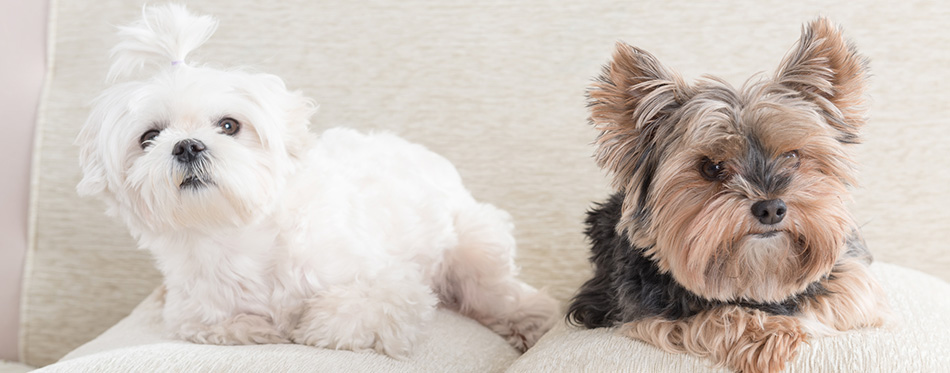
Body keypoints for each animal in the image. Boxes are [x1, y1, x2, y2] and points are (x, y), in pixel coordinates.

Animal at [82, 4, 560, 356]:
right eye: (149, 137)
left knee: (501, 295)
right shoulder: (195, 313)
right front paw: (261, 327)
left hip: (474, 248)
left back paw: (527, 321)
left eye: (229, 125)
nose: (187, 146)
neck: (238, 238)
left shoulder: (392, 288)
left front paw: (304, 327)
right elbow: (226, 325)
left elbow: (339, 316)